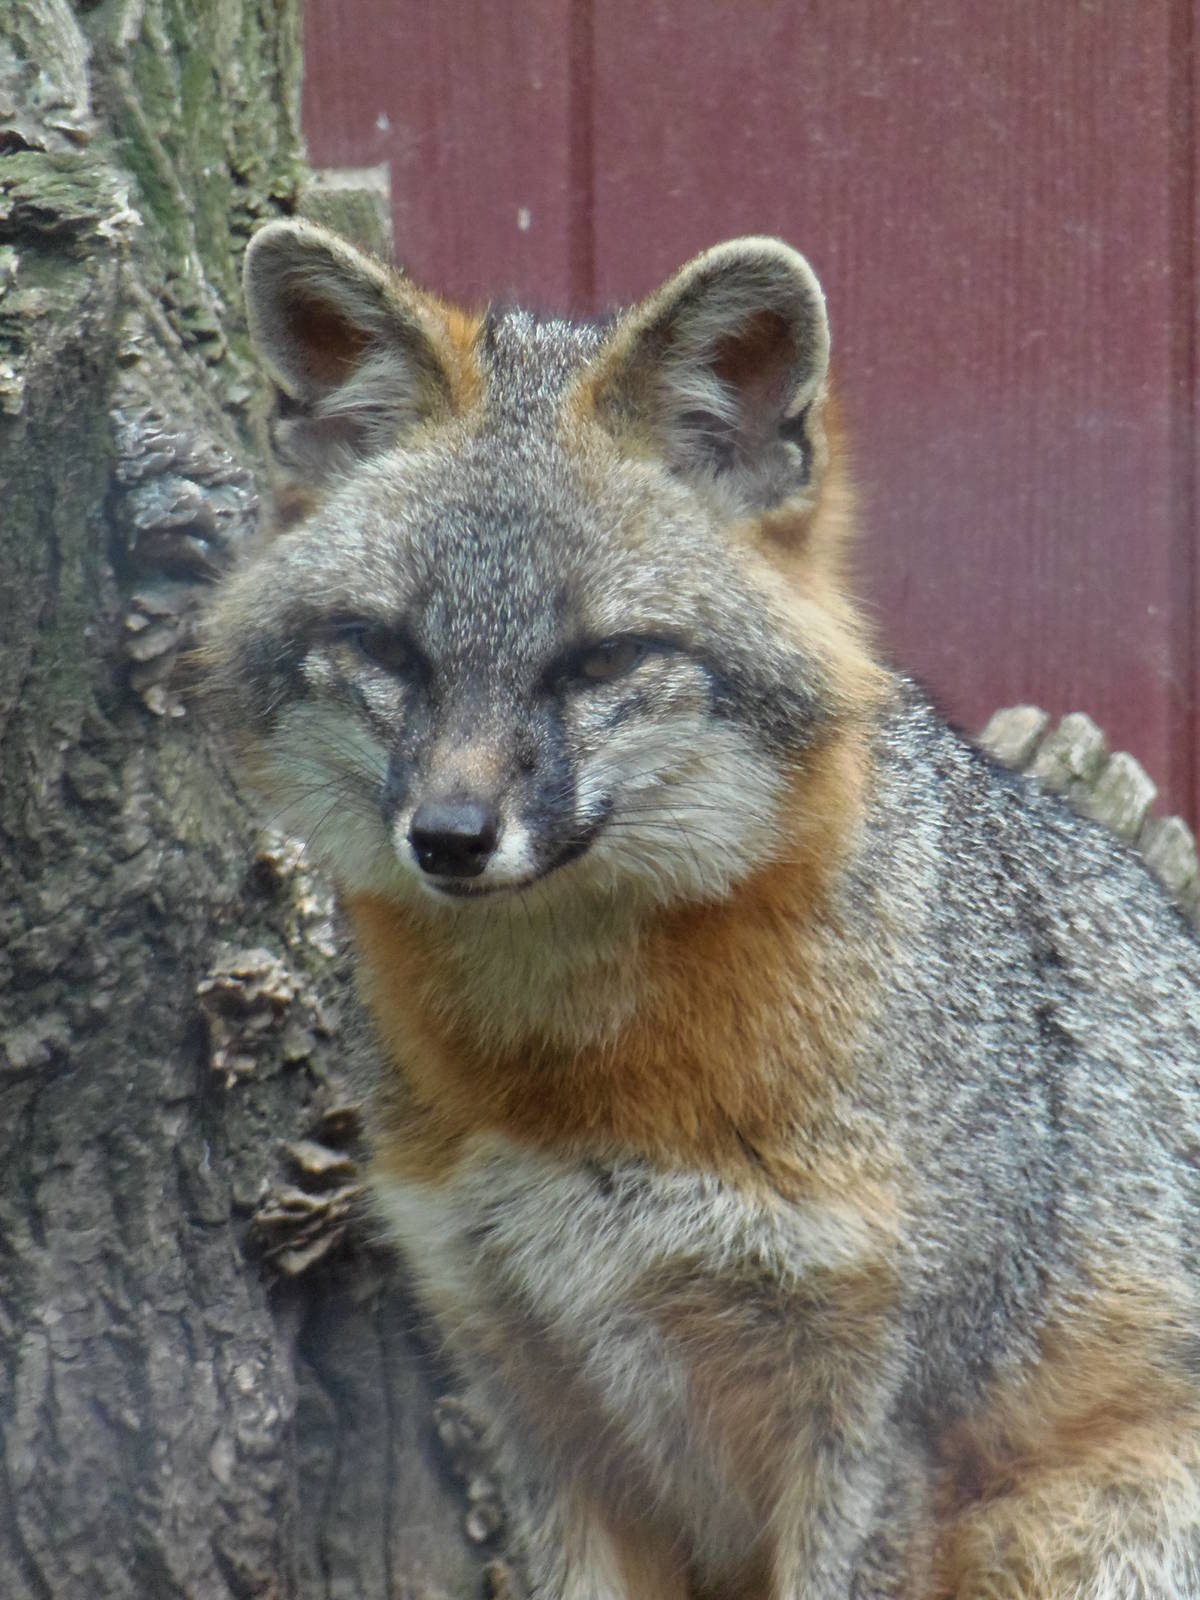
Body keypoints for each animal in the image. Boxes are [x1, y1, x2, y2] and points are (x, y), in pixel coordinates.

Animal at [204, 217, 1200, 1600]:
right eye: (389, 650)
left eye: (603, 660)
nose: (450, 838)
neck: (576, 1087)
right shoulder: (536, 1408)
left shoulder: (879, 1427)